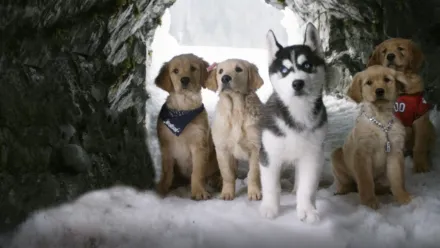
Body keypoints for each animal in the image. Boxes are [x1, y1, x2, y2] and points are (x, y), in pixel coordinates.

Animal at [155, 53, 222, 201]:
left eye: (193, 68)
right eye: (175, 71)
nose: (184, 80)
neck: (184, 108)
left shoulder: (199, 145)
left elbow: (197, 172)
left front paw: (199, 191)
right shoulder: (166, 146)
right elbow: (167, 172)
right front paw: (161, 189)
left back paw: (217, 180)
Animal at [205, 59, 262, 201]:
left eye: (238, 69)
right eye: (220, 71)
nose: (225, 78)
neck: (236, 110)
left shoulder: (256, 148)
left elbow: (253, 173)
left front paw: (254, 192)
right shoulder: (222, 149)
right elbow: (227, 174)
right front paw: (227, 193)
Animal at [260, 21, 328, 223]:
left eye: (307, 65)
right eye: (284, 70)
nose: (297, 83)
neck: (298, 112)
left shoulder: (312, 155)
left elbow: (307, 187)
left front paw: (307, 209)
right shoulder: (269, 155)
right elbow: (271, 186)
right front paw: (270, 208)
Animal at [332, 65, 414, 208]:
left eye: (387, 80)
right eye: (369, 83)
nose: (379, 91)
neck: (381, 121)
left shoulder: (395, 152)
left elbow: (397, 178)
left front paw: (403, 197)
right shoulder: (362, 154)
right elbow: (366, 181)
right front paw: (369, 202)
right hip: (336, 154)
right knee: (348, 183)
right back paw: (342, 190)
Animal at [368, 37, 434, 173]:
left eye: (400, 48)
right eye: (384, 51)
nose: (390, 56)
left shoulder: (420, 118)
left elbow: (419, 146)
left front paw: (420, 166)